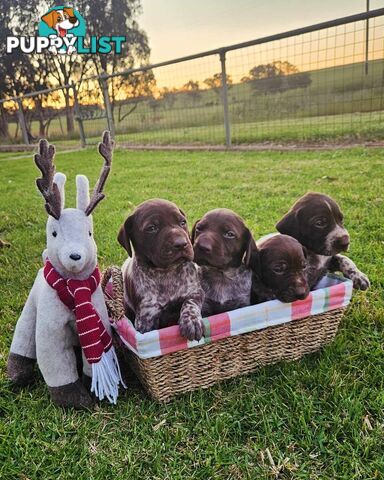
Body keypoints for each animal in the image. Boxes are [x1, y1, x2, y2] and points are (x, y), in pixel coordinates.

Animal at [118, 199, 206, 342]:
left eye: (182, 222)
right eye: (152, 228)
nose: (181, 244)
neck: (166, 272)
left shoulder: (195, 292)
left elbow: (190, 303)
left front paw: (192, 321)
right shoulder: (147, 317)